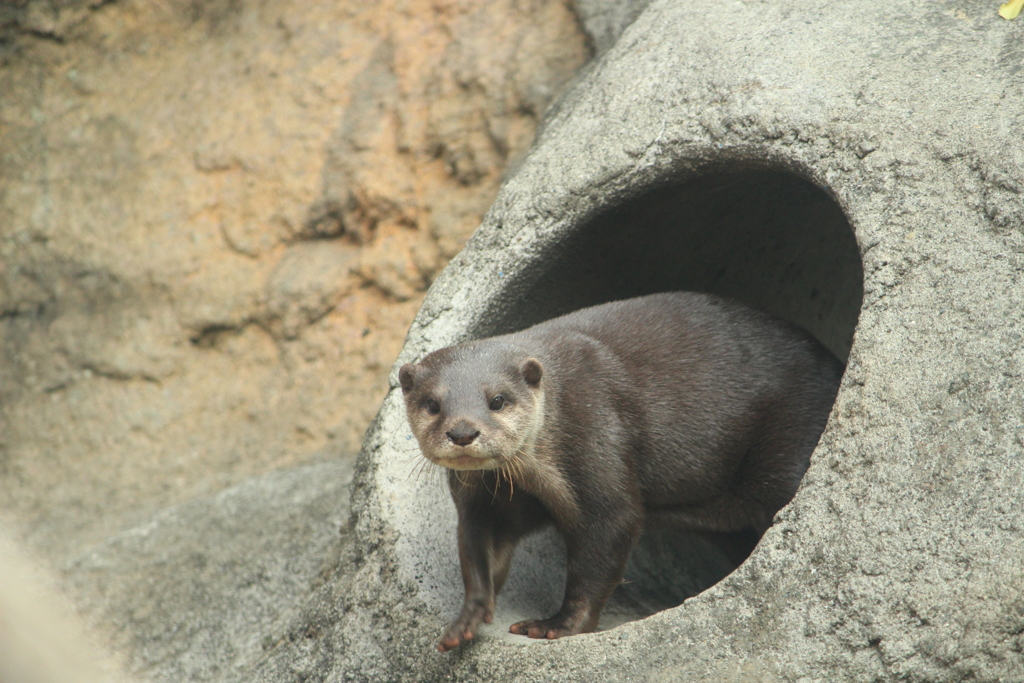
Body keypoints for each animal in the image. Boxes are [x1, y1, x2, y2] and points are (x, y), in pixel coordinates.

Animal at [395, 290, 843, 651]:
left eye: (498, 400)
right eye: (433, 404)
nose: (463, 431)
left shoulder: (596, 432)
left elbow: (608, 538)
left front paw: (559, 625)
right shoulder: (489, 501)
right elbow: (479, 551)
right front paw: (466, 618)